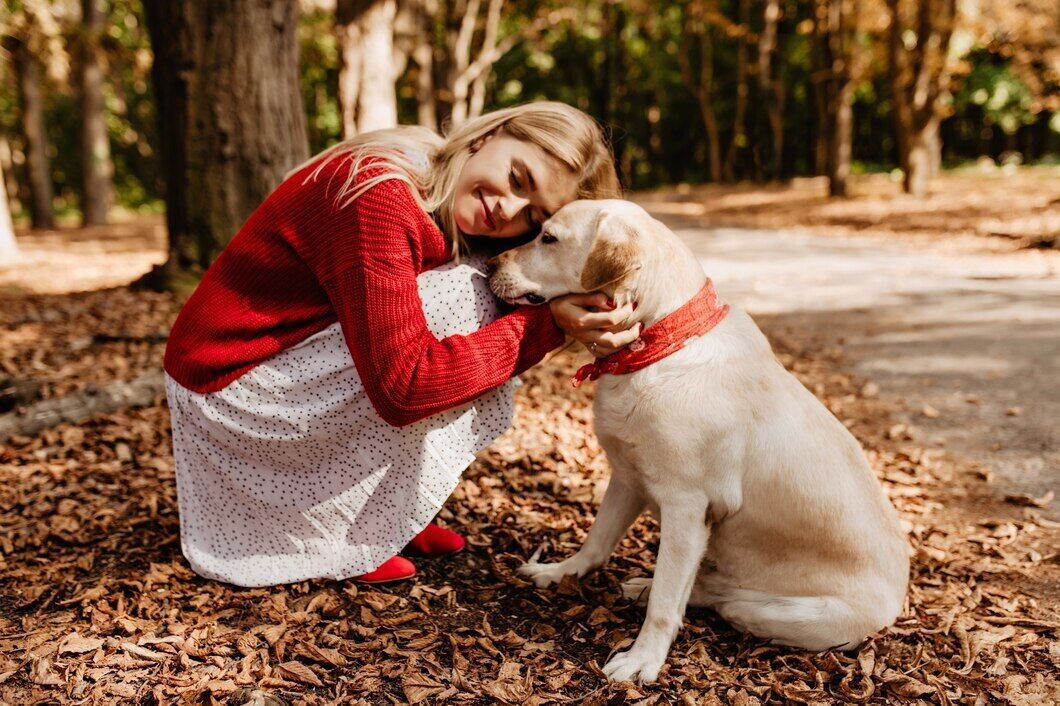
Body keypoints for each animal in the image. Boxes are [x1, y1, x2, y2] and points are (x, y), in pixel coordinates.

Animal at [487, 199, 911, 682]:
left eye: (549, 238)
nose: (488, 264)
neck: (659, 341)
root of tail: (897, 605)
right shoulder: (627, 477)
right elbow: (597, 540)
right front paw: (562, 571)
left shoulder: (687, 507)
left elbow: (665, 602)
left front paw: (642, 659)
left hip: (785, 612)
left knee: (724, 600)